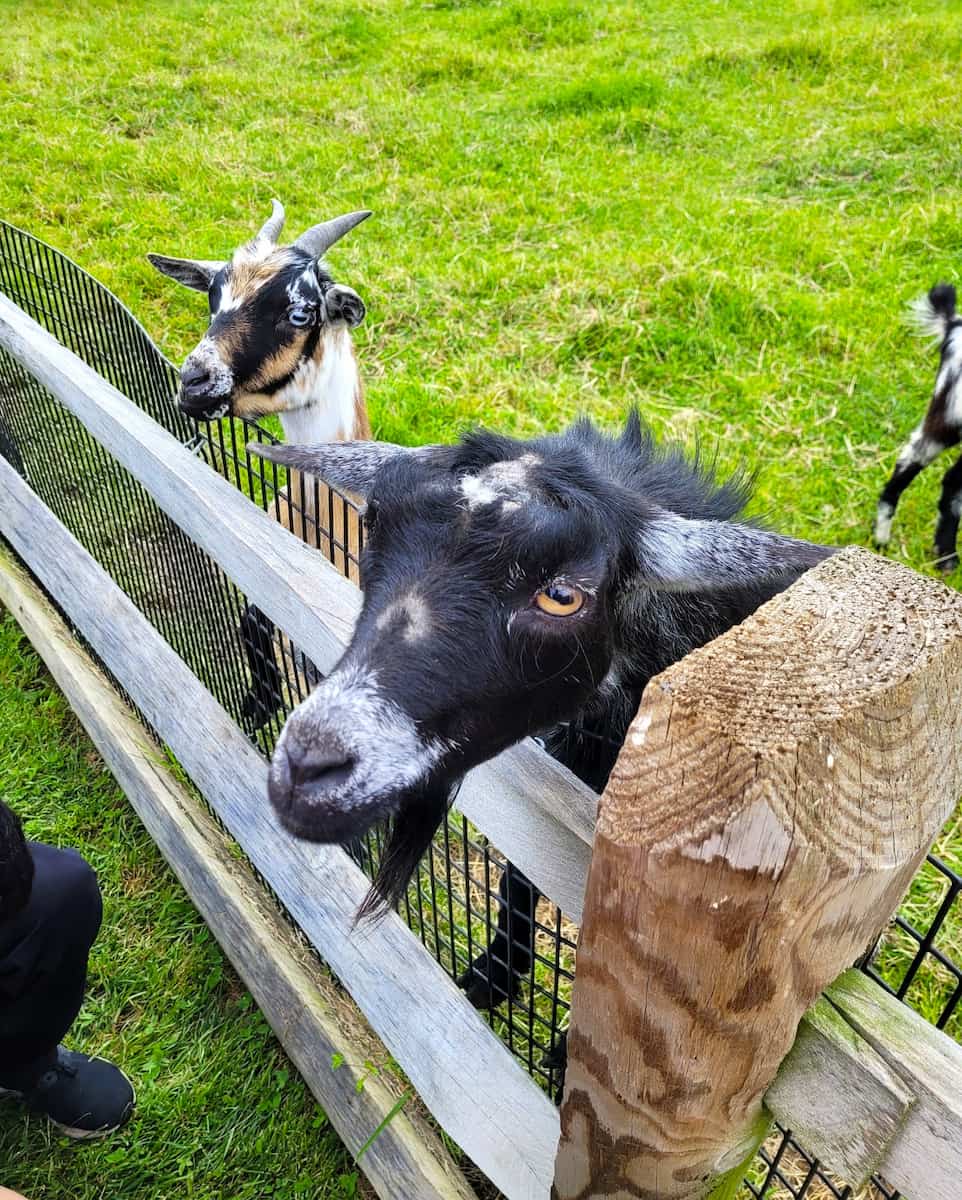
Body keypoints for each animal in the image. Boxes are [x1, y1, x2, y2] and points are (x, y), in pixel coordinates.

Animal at [874, 284, 962, 572]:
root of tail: (954, 325)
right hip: (947, 415)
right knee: (909, 460)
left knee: (951, 481)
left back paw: (945, 555)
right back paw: (882, 539)